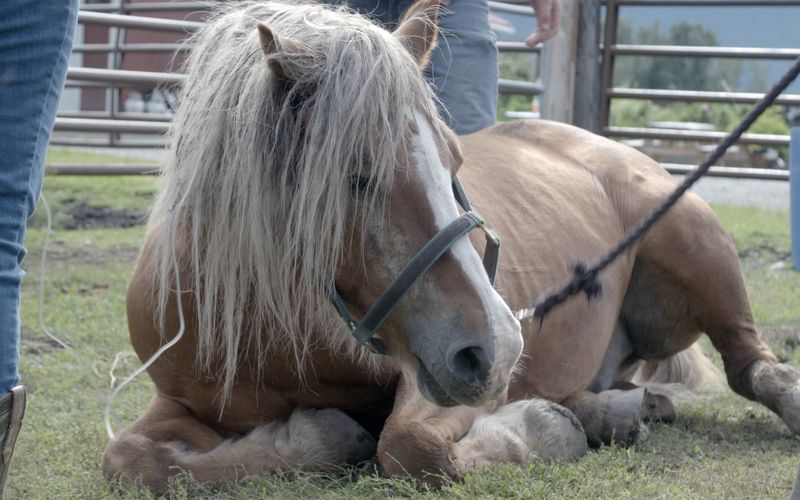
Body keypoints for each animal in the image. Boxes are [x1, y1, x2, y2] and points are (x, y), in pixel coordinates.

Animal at [101, 0, 800, 492]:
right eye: (357, 179)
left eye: (454, 161)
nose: (499, 347)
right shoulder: (179, 400)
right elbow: (129, 458)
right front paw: (314, 434)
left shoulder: (434, 375)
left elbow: (410, 447)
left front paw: (539, 430)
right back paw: (614, 409)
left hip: (697, 249)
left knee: (752, 364)